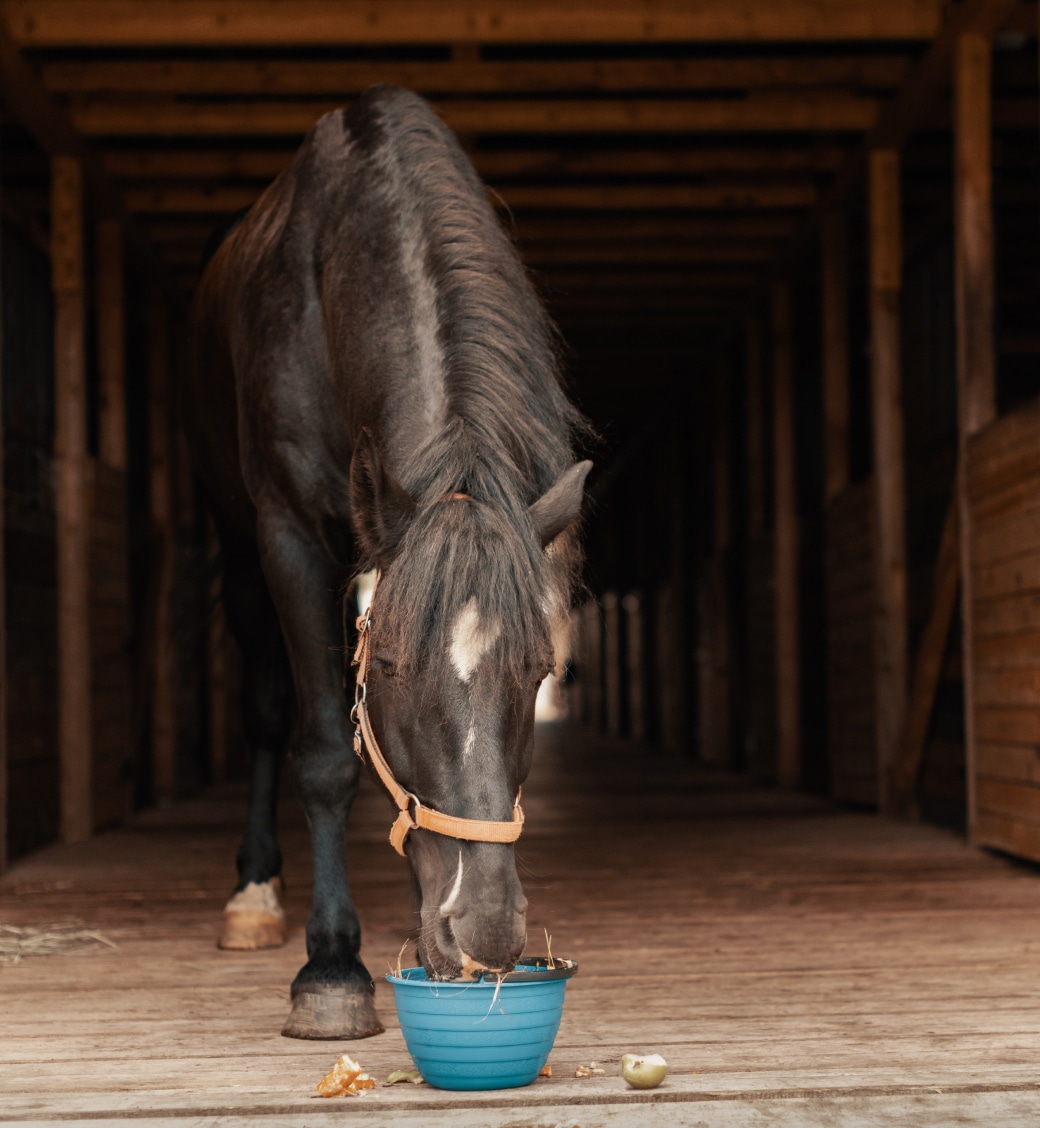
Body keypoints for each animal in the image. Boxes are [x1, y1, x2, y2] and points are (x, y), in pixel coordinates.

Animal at [184, 85, 591, 1037]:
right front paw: (331, 969)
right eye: (396, 666)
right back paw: (254, 894)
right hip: (239, 544)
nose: (486, 929)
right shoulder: (290, 535)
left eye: (540, 670)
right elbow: (328, 754)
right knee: (267, 708)